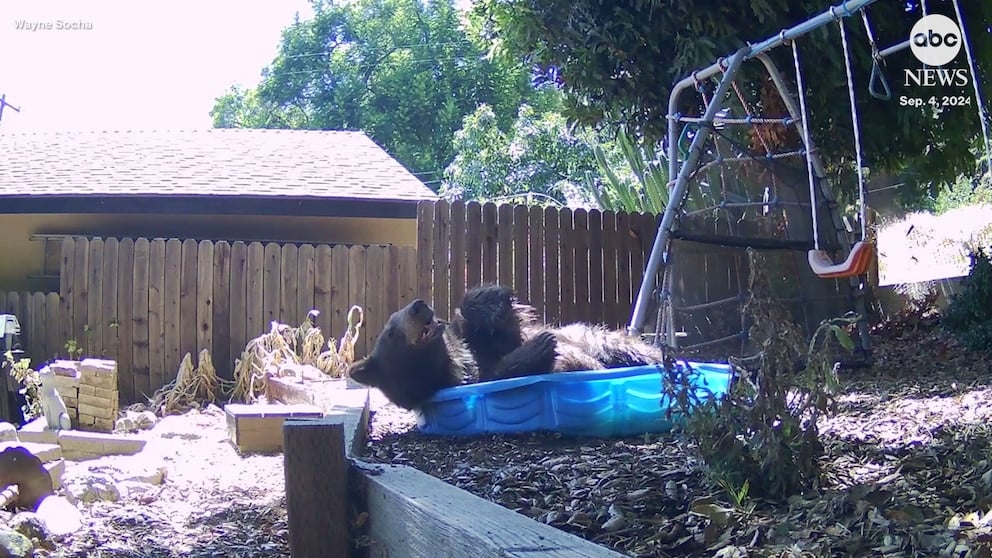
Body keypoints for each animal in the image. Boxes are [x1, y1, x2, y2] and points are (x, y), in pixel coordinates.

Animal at [348, 284, 668, 412]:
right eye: (391, 332)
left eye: (397, 314)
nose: (418, 304)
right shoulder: (467, 377)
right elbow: (507, 370)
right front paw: (540, 346)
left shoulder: (475, 343)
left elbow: (496, 329)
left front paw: (491, 299)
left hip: (595, 338)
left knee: (628, 348)